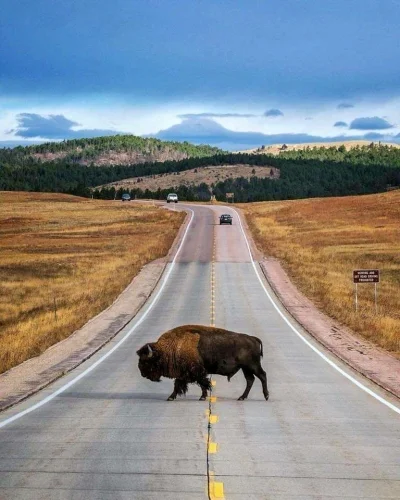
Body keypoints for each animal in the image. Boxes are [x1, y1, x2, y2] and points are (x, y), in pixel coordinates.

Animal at [137, 324, 268, 402]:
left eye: (146, 361)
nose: (142, 373)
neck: (172, 347)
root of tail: (253, 338)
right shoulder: (185, 373)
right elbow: (180, 384)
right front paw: (171, 397)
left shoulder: (196, 372)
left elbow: (202, 383)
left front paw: (202, 397)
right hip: (245, 368)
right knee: (250, 380)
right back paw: (242, 397)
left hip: (252, 366)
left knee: (262, 376)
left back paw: (266, 396)